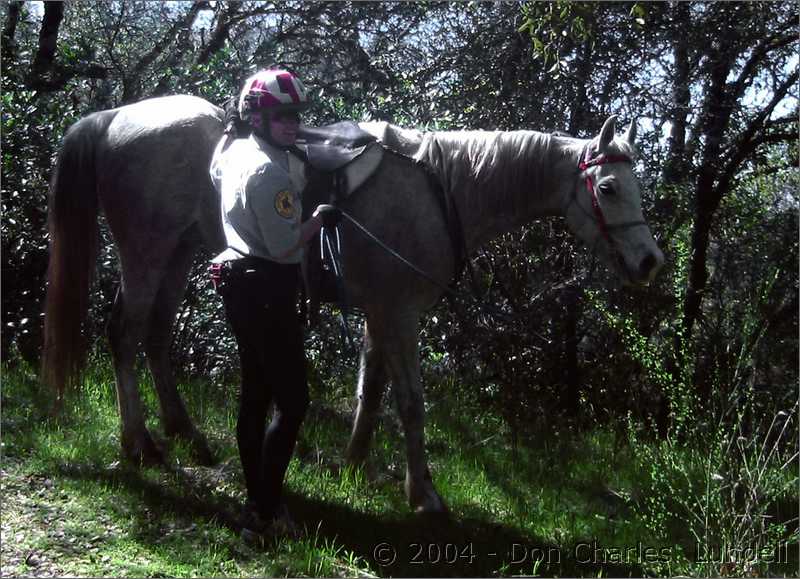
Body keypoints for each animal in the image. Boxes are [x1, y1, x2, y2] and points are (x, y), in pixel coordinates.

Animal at [42, 95, 664, 516]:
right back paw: (141, 443)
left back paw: (185, 433)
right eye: (608, 188)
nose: (650, 261)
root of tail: (114, 117)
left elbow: (373, 391)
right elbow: (410, 403)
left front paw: (354, 463)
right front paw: (423, 493)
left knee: (156, 335)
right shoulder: (400, 315)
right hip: (146, 253)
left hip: (177, 254)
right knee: (124, 333)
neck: (442, 190)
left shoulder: (380, 313)